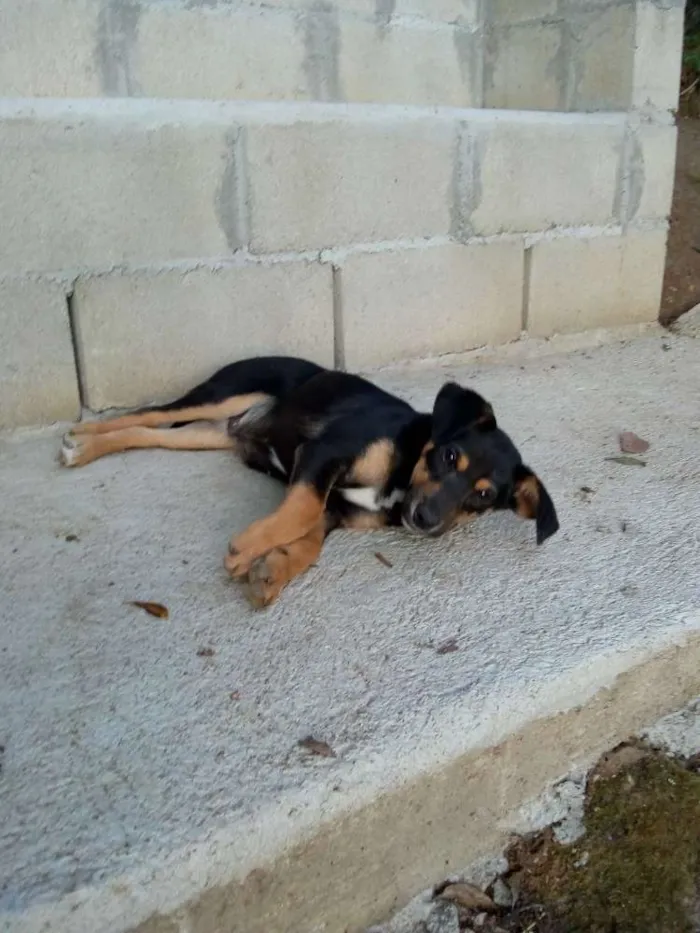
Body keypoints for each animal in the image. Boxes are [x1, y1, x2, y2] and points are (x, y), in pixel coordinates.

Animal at [63, 354, 560, 604]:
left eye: (483, 496)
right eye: (450, 454)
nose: (424, 520)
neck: (404, 472)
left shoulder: (338, 508)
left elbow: (311, 537)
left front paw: (274, 569)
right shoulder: (323, 453)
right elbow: (302, 510)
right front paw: (248, 549)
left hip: (209, 434)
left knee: (149, 433)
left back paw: (89, 448)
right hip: (223, 393)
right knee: (146, 414)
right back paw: (81, 440)